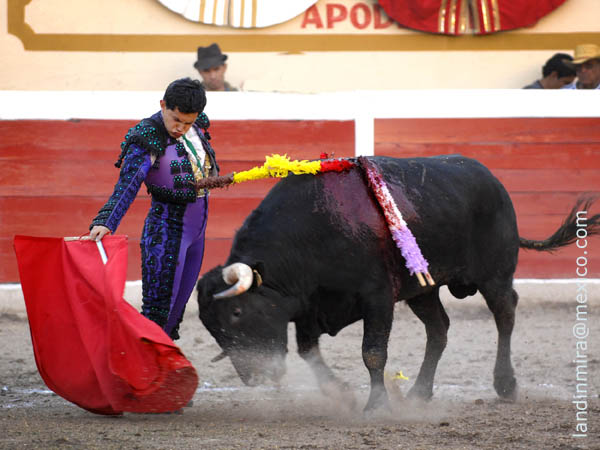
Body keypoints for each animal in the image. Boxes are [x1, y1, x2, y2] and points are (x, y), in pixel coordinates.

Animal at [196, 156, 596, 412]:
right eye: (212, 329)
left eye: (236, 311)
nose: (255, 376)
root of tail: (491, 179)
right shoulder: (309, 306)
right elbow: (309, 351)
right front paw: (341, 393)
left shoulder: (377, 298)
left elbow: (372, 352)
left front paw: (376, 405)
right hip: (423, 290)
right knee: (439, 329)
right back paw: (420, 393)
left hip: (494, 275)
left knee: (505, 315)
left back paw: (506, 384)